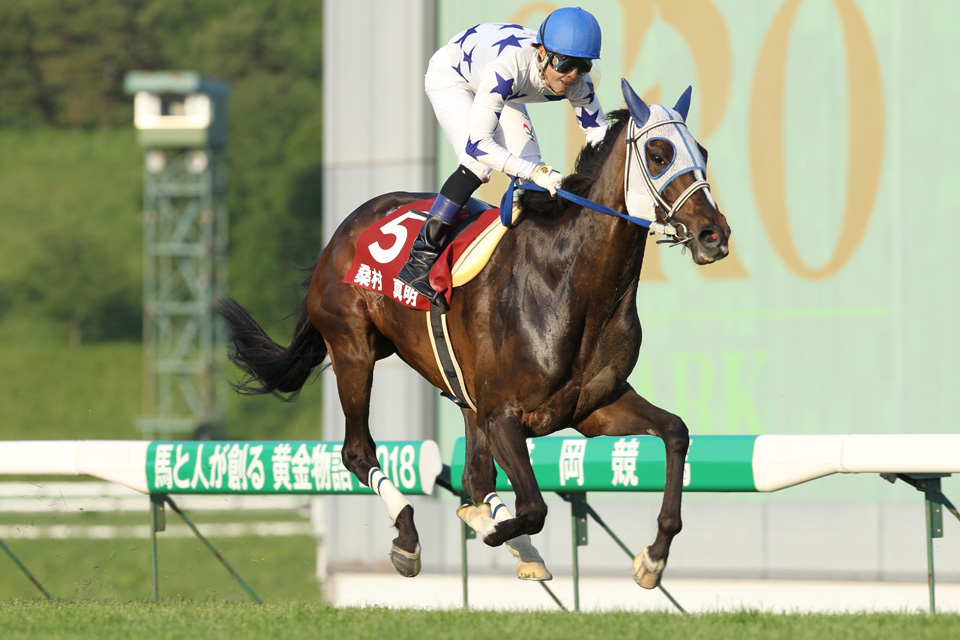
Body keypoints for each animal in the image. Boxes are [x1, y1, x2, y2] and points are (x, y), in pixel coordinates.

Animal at [218, 79, 731, 589]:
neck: (570, 284)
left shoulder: (593, 408)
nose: (714, 235)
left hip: (456, 388)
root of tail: (343, 231)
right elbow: (532, 507)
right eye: (659, 153)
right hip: (353, 349)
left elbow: (675, 431)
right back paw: (409, 537)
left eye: (703, 152)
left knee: (475, 476)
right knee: (358, 452)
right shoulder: (502, 413)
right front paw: (486, 526)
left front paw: (653, 557)